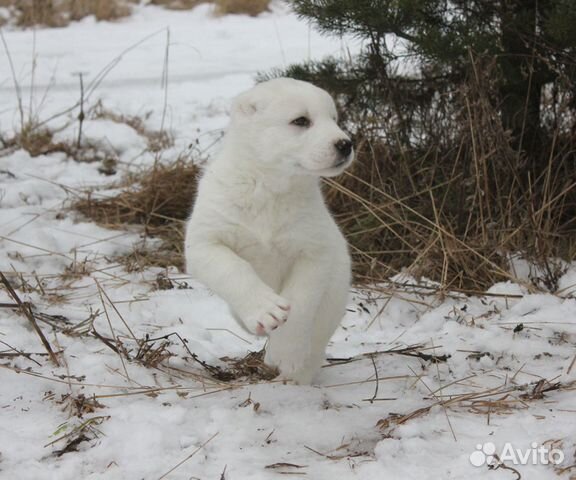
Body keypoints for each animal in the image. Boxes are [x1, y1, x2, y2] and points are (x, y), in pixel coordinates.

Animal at [187, 77, 354, 384]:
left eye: (334, 119)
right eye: (301, 120)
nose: (345, 144)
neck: (269, 187)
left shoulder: (314, 250)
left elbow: (301, 298)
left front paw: (285, 353)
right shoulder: (207, 238)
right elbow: (232, 267)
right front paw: (266, 311)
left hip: (332, 303)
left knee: (315, 345)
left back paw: (294, 377)